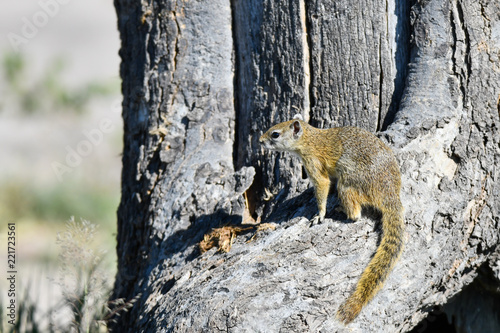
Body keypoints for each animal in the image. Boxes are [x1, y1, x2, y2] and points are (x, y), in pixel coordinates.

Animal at [260, 115, 404, 322]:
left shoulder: (313, 163)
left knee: (355, 214)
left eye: (275, 134)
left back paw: (340, 210)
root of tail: (390, 195)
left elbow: (322, 185)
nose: (260, 141)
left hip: (348, 183)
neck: (310, 139)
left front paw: (319, 214)